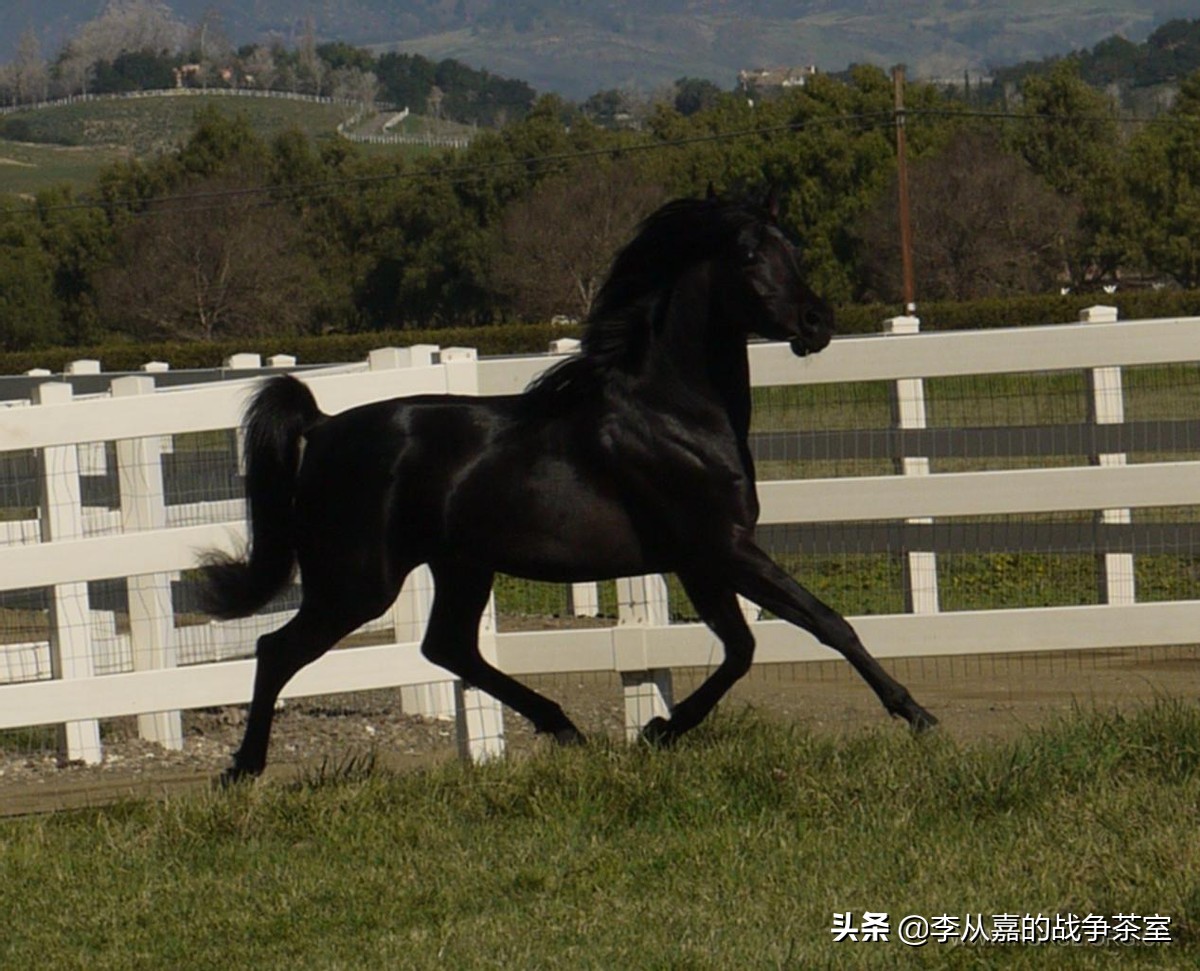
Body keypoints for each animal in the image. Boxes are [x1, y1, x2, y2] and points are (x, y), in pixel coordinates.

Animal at [204, 189, 936, 782]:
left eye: (795, 249)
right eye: (750, 254)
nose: (818, 324)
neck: (673, 414)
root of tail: (324, 426)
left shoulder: (700, 560)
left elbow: (742, 648)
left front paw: (656, 730)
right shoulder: (722, 547)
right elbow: (825, 622)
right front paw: (917, 714)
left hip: (460, 566)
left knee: (448, 646)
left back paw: (566, 728)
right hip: (357, 582)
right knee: (278, 648)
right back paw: (242, 770)